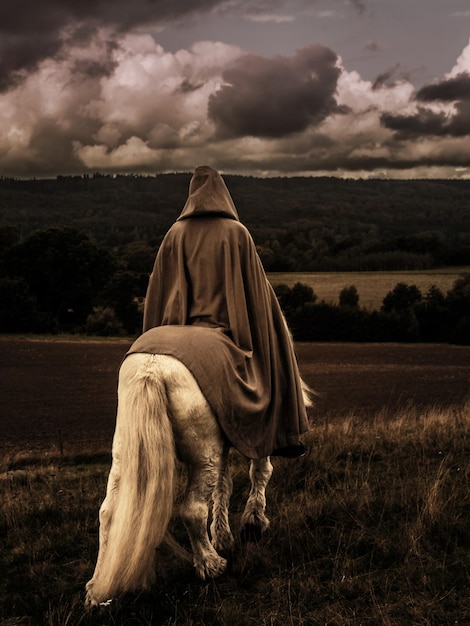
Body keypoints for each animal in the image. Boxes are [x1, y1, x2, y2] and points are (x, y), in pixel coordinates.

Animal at [85, 352, 312, 604]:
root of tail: (150, 371)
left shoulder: (222, 446)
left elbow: (223, 487)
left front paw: (223, 536)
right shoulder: (261, 433)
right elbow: (260, 471)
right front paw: (253, 522)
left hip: (126, 455)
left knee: (108, 513)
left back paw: (98, 586)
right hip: (204, 456)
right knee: (192, 510)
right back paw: (210, 564)